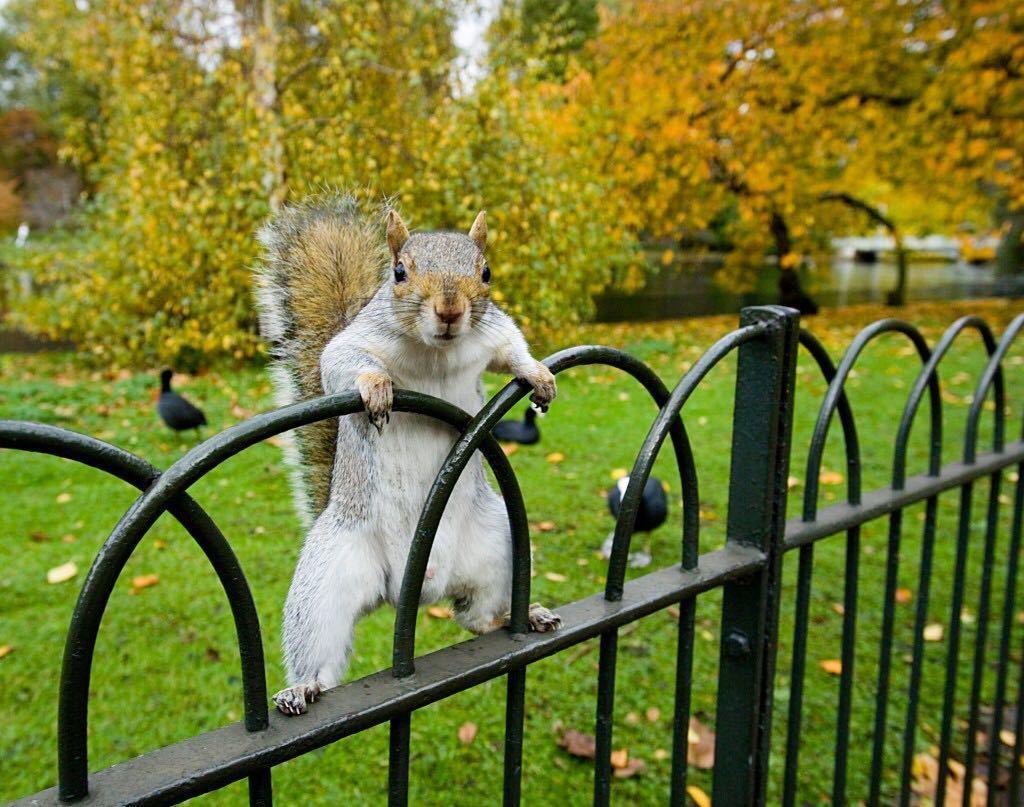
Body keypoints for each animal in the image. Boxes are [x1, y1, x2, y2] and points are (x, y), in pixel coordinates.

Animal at [253, 193, 561, 712]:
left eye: (486, 273)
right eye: (399, 272)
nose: (450, 309)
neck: (436, 351)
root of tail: (412, 587)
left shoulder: (493, 333)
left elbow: (513, 349)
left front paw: (538, 374)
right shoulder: (355, 341)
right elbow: (341, 362)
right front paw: (375, 386)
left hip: (498, 546)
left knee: (475, 618)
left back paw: (521, 616)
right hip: (328, 580)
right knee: (320, 654)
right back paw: (303, 687)